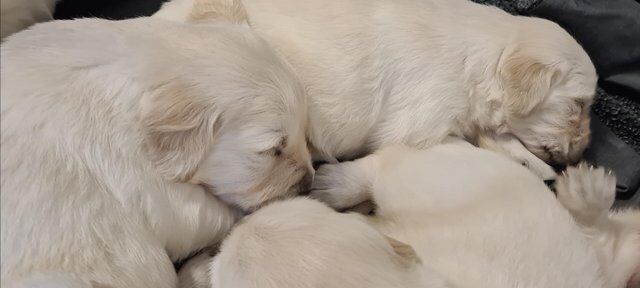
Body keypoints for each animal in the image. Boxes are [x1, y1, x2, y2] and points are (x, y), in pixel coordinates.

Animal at [155, 0, 596, 181]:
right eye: (577, 106)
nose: (583, 151)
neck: (480, 59)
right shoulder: (421, 128)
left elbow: (503, 141)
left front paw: (537, 165)